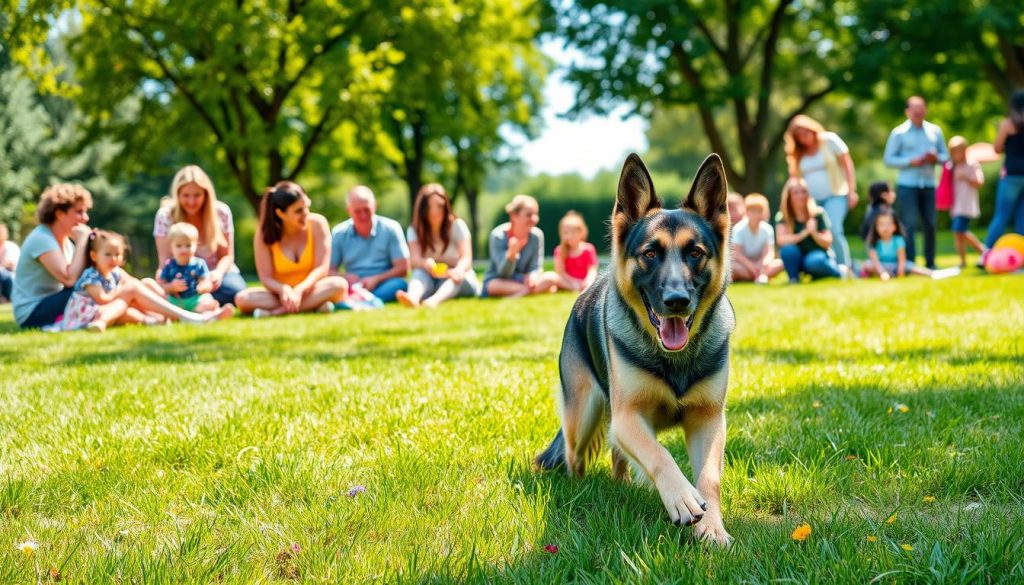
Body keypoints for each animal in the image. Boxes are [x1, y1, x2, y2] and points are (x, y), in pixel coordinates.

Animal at [536, 153, 737, 549]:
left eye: (695, 252)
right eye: (650, 253)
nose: (677, 301)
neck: (674, 359)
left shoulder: (708, 420)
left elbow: (709, 477)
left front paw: (713, 527)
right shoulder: (628, 417)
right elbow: (660, 455)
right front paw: (681, 497)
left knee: (617, 457)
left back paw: (622, 485)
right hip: (583, 414)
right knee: (574, 458)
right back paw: (579, 490)